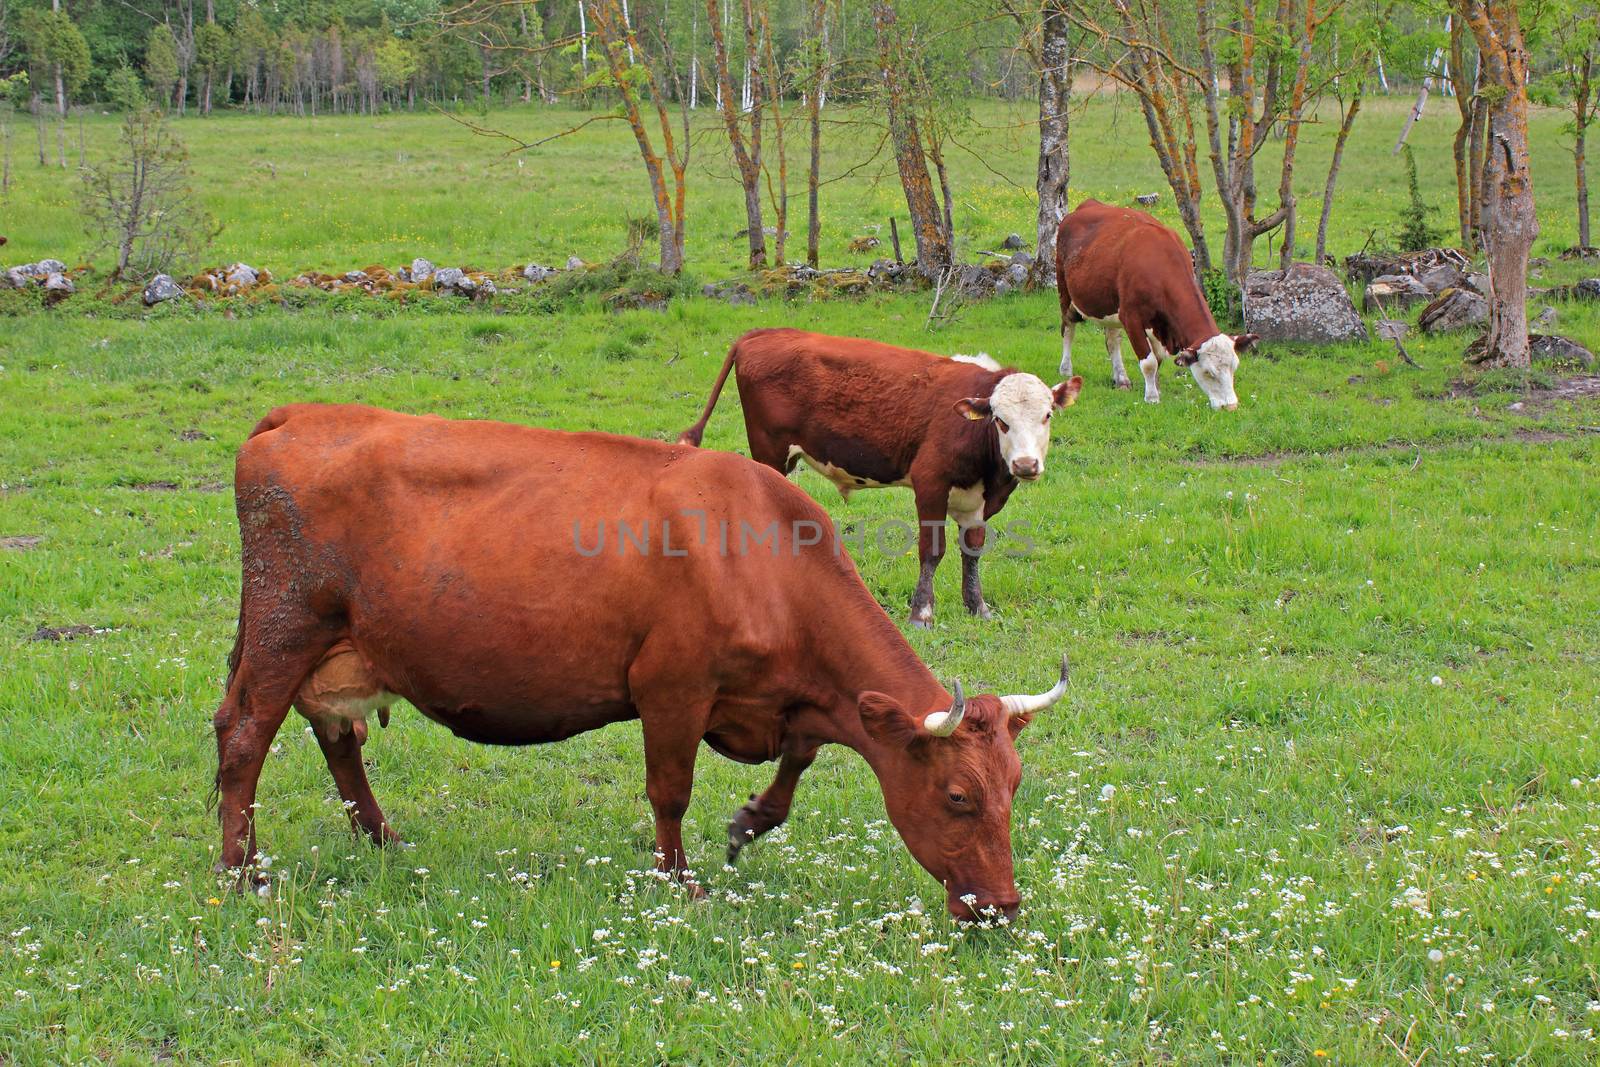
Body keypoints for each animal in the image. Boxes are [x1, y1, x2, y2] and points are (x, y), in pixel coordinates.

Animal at [209, 404, 1075, 921]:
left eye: (1014, 787)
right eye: (959, 795)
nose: (1004, 906)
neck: (762, 556)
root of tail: (302, 415)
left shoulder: (789, 703)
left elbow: (795, 762)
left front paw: (750, 820)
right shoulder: (671, 688)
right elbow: (671, 791)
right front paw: (680, 879)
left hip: (335, 647)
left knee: (336, 738)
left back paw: (382, 840)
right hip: (286, 629)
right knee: (244, 737)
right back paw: (240, 871)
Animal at [675, 326, 1088, 627]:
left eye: (1047, 415)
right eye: (1000, 421)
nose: (1025, 465)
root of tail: (763, 332)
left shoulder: (980, 501)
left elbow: (972, 551)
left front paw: (978, 607)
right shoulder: (930, 484)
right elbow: (932, 550)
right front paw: (921, 613)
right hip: (769, 453)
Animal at [1049, 202, 1260, 412]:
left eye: (1234, 367)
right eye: (1209, 372)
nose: (1230, 407)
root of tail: (1088, 204)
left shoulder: (1158, 323)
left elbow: (1158, 359)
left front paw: (1155, 388)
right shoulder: (1131, 318)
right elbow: (1149, 362)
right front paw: (1151, 397)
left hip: (1109, 304)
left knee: (1112, 341)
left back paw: (1121, 379)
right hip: (1064, 292)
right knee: (1068, 329)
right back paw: (1066, 369)